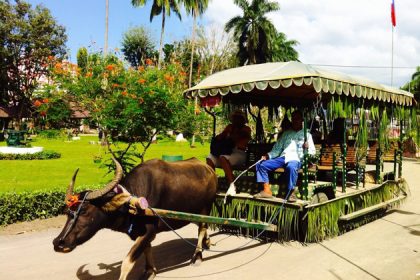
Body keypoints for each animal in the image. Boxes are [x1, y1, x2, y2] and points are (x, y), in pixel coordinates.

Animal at [52, 158, 217, 280]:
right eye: (67, 212)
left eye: (84, 211)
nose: (58, 243)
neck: (131, 202)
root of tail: (209, 169)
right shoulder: (142, 233)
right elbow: (147, 249)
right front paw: (150, 271)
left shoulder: (149, 231)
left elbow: (127, 261)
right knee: (201, 226)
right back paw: (207, 242)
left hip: (205, 208)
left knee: (202, 227)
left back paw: (197, 256)